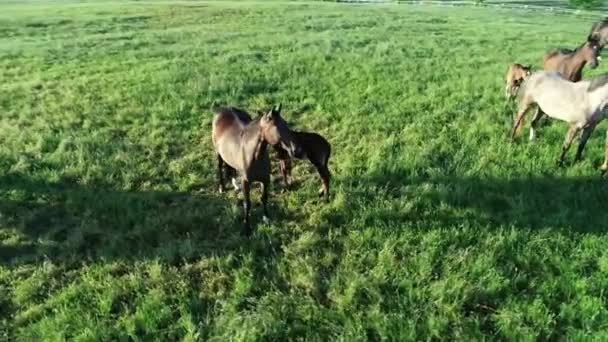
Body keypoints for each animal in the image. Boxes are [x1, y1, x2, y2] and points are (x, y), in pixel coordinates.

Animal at [211, 105, 302, 236]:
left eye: (285, 123)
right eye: (276, 127)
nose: (296, 149)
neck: (253, 155)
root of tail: (223, 109)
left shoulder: (265, 179)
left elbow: (264, 198)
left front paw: (266, 218)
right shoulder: (246, 182)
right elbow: (247, 204)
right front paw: (247, 228)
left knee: (231, 169)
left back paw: (235, 185)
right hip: (218, 153)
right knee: (220, 167)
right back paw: (222, 187)